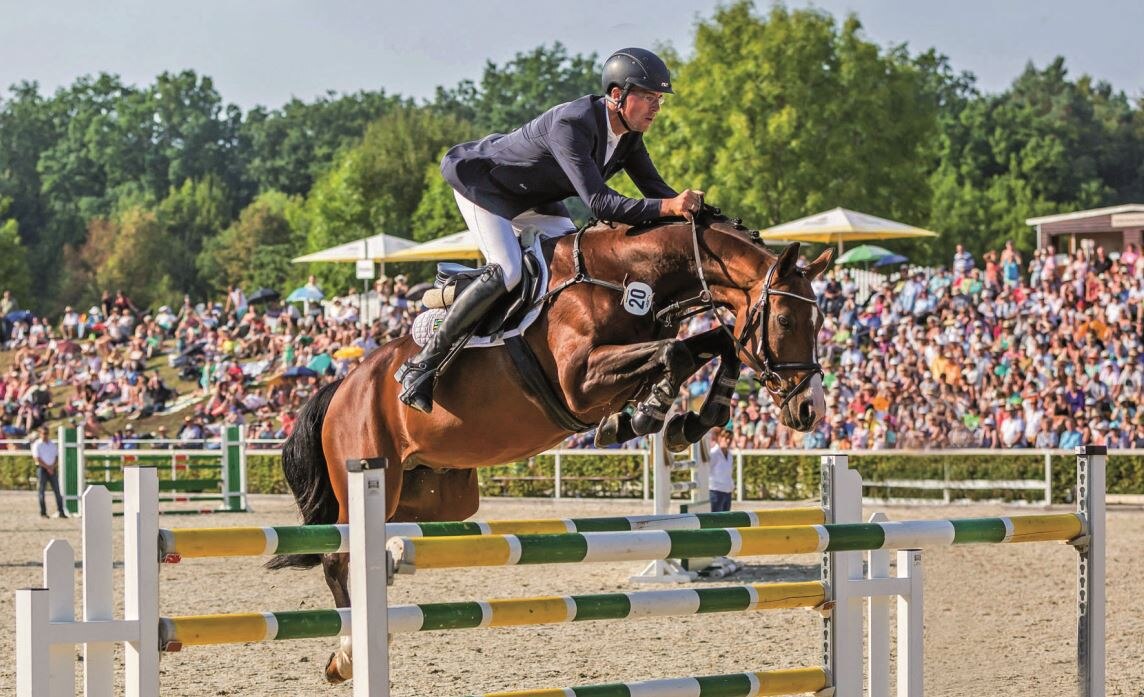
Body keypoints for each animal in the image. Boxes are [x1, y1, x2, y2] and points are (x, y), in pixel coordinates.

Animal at [268, 208, 832, 677]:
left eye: (822, 320)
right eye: (786, 319)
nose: (810, 410)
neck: (626, 277)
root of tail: (343, 386)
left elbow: (719, 343)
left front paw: (688, 420)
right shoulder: (579, 382)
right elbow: (674, 352)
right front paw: (649, 414)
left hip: (436, 494)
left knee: (380, 545)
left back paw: (388, 570)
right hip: (367, 473)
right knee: (339, 558)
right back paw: (347, 654)